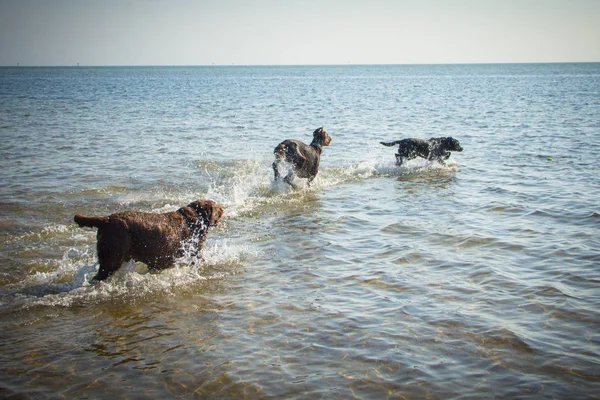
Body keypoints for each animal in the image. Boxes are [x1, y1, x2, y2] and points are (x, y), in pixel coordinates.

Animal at [74, 200, 224, 282]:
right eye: (217, 208)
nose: (223, 209)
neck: (195, 219)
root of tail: (106, 219)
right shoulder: (194, 249)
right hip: (113, 256)